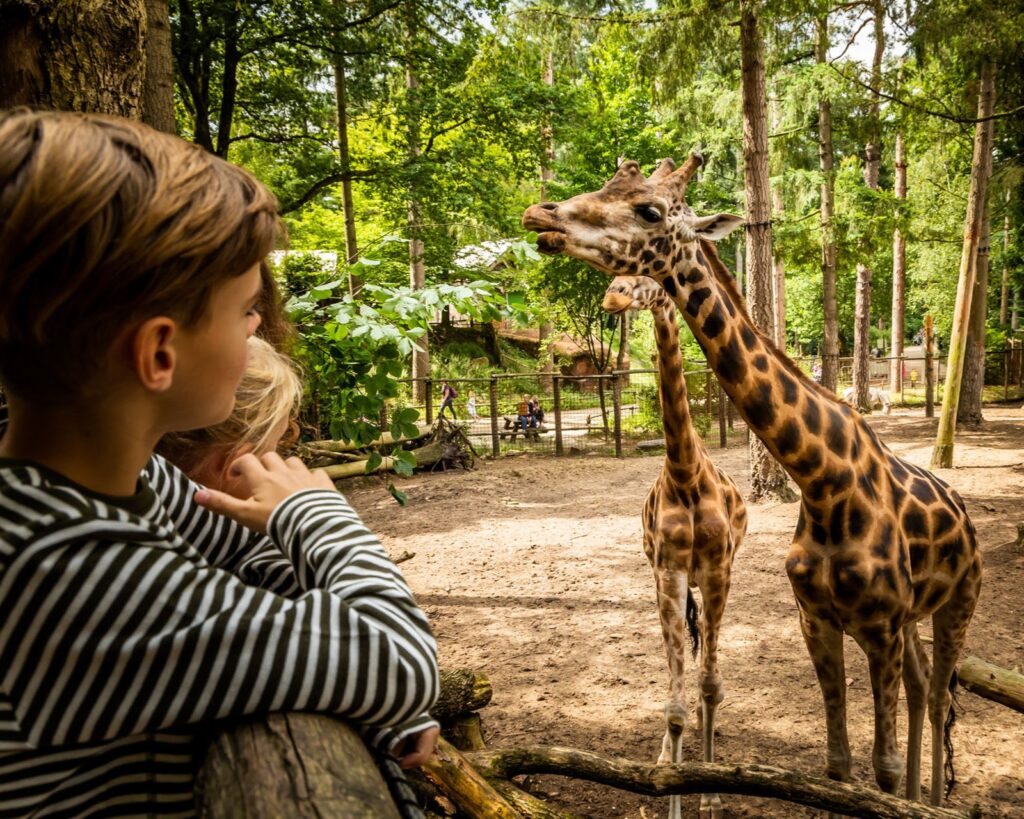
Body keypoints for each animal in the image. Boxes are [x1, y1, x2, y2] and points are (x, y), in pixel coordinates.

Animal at [602, 276, 749, 818]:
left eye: (644, 279)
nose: (614, 296)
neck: (685, 474)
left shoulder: (718, 570)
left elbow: (710, 687)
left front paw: (709, 793)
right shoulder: (668, 572)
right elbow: (675, 707)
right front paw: (672, 779)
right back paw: (665, 757)